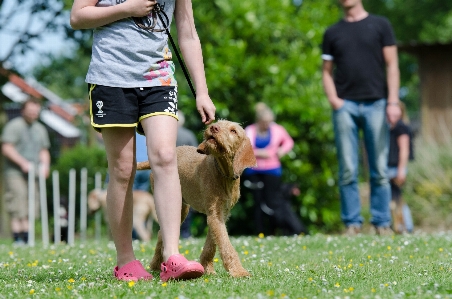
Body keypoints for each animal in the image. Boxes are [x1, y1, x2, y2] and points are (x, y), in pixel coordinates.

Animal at [136, 120, 256, 278]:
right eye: (218, 123)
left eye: (233, 131)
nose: (213, 127)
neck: (223, 173)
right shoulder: (214, 214)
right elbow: (225, 244)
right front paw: (238, 271)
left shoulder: (219, 215)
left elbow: (212, 243)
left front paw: (207, 267)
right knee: (161, 232)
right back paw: (157, 265)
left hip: (181, 208)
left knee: (162, 232)